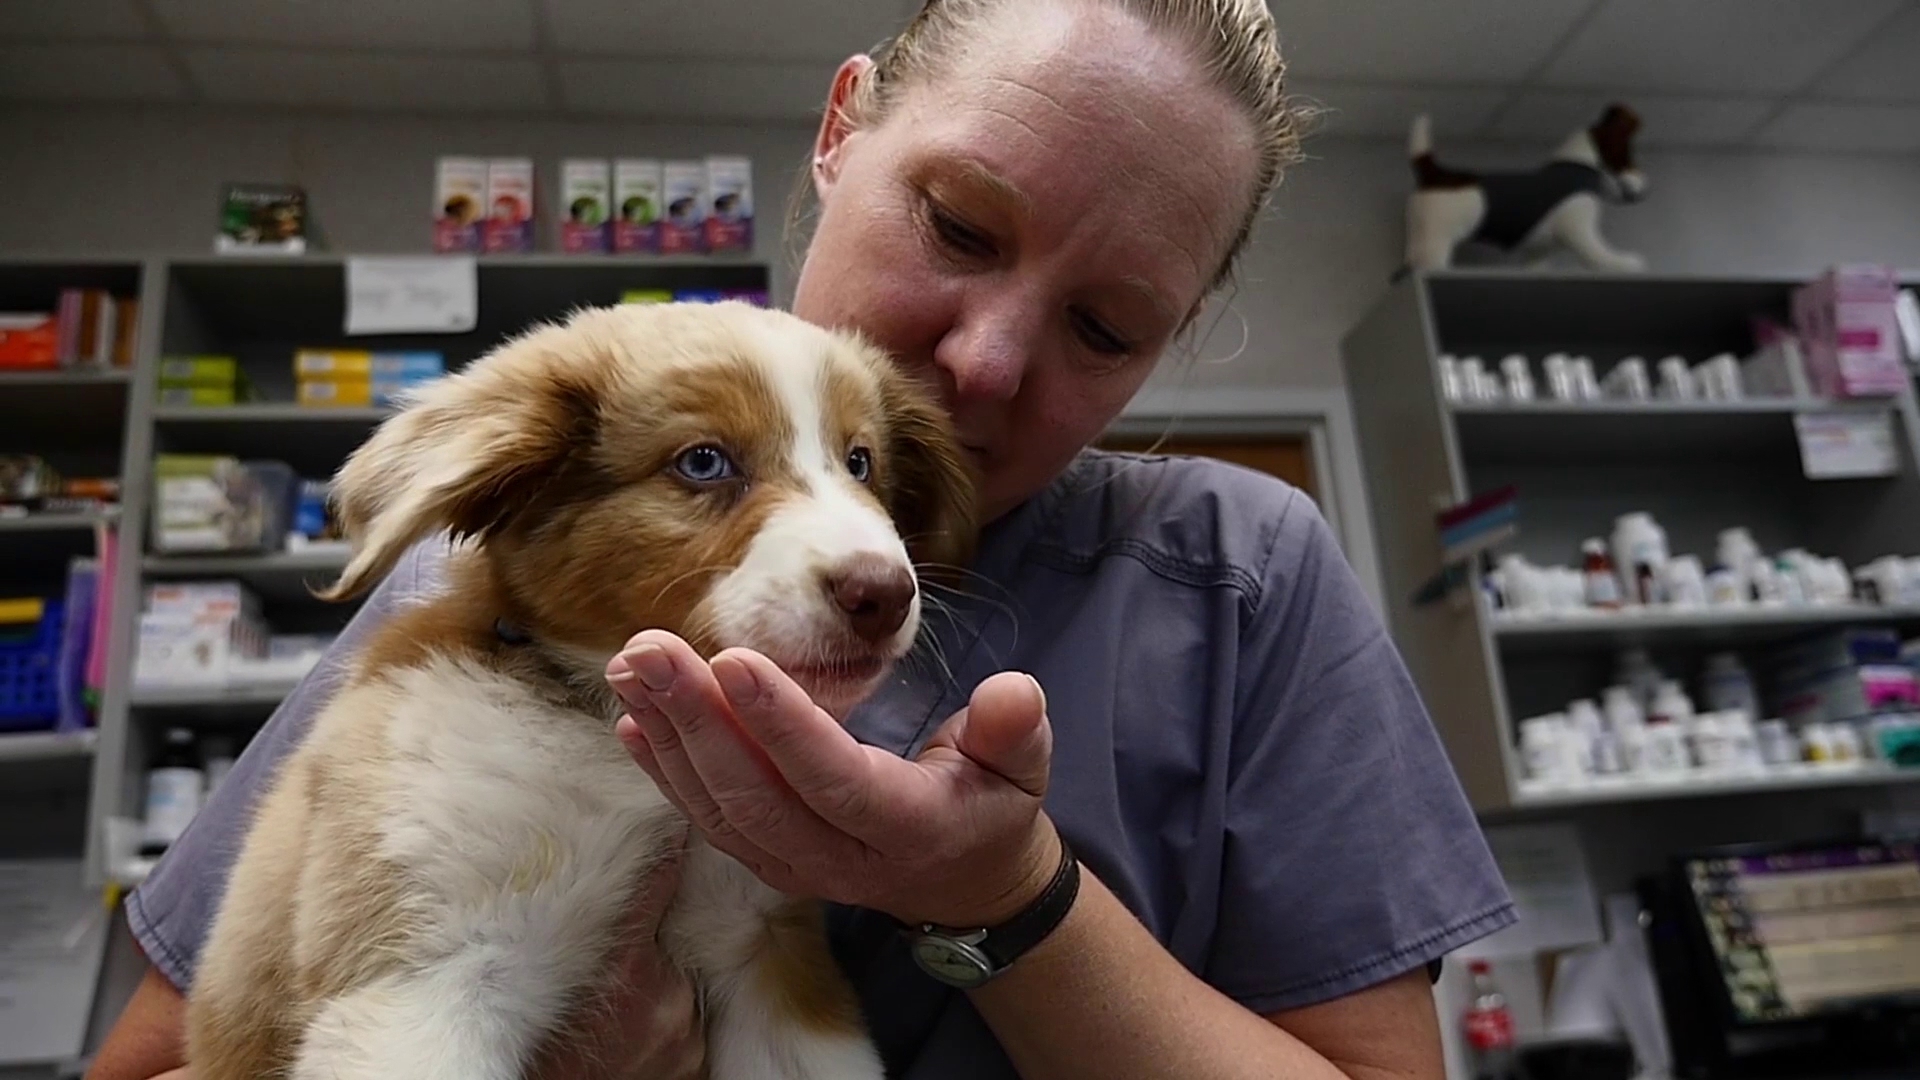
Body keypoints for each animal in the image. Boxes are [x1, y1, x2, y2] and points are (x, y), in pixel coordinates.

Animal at [183, 299, 975, 1076]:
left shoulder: (765, 945)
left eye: (860, 462)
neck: (611, 726)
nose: (884, 594)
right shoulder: (423, 975)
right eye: (704, 461)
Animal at [1397, 103, 1651, 272]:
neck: (1578, 169)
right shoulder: (1581, 233)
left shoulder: (1539, 250)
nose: (1645, 191)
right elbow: (1602, 256)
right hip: (1436, 242)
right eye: (1628, 155)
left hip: (1420, 238)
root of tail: (1433, 172)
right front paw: (1628, 262)